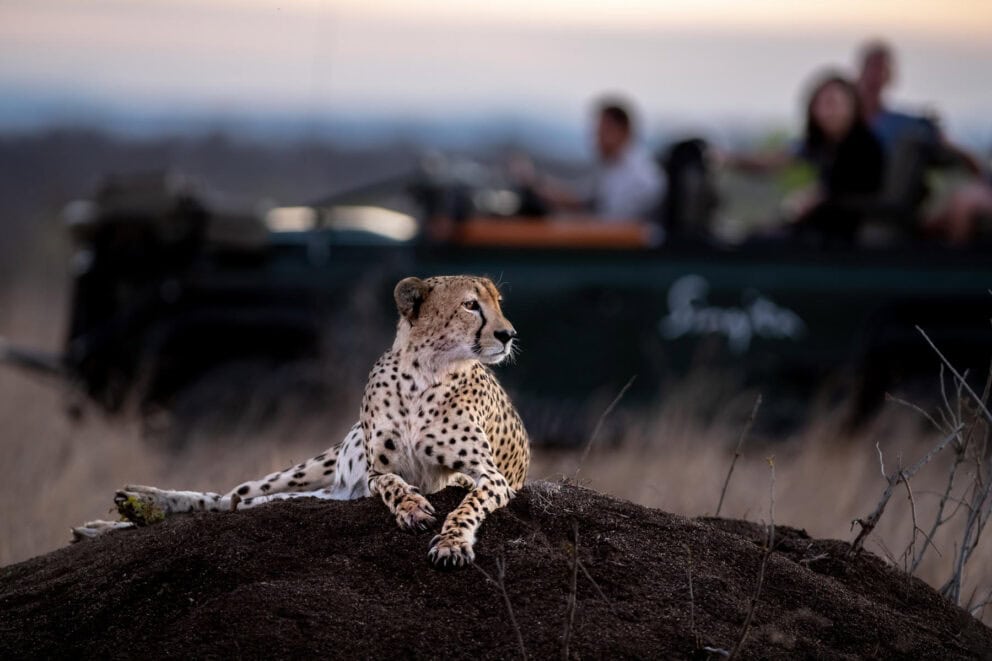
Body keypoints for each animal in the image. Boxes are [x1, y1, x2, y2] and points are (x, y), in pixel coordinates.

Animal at [72, 275, 530, 570]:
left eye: (499, 303)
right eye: (471, 305)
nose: (508, 334)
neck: (425, 372)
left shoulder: (488, 476)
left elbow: (465, 505)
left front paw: (452, 544)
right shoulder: (376, 470)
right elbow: (391, 483)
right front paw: (413, 507)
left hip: (331, 492)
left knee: (245, 504)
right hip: (314, 472)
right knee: (231, 499)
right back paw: (136, 507)